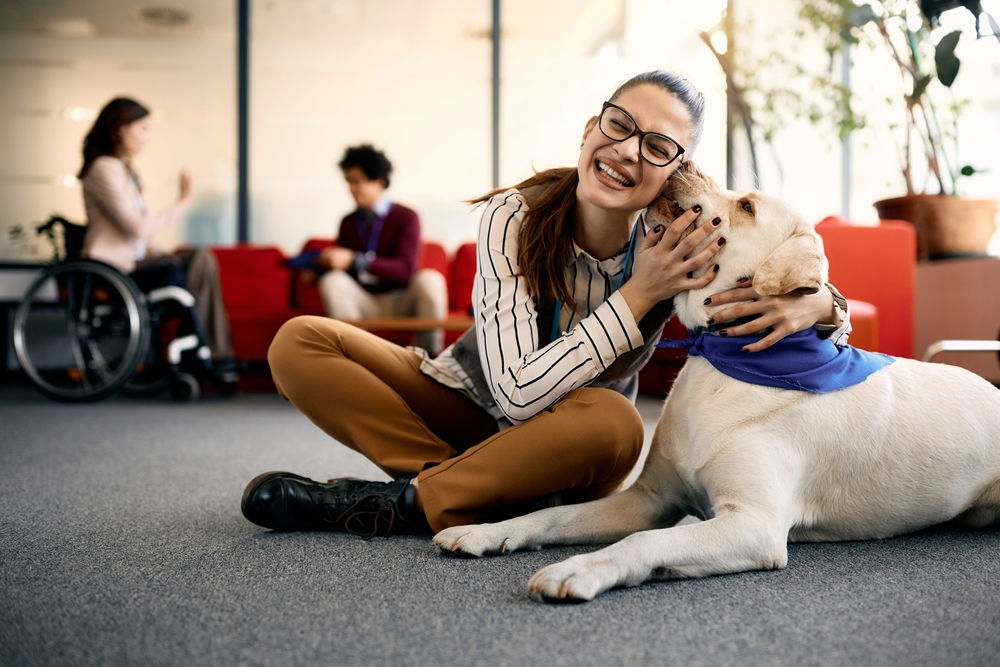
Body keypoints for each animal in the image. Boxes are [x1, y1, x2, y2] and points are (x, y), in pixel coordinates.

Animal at [434, 163, 1000, 604]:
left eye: (746, 205)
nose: (683, 162)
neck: (723, 360)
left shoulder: (752, 524)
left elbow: (642, 544)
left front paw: (578, 569)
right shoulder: (650, 498)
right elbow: (553, 517)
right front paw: (487, 531)